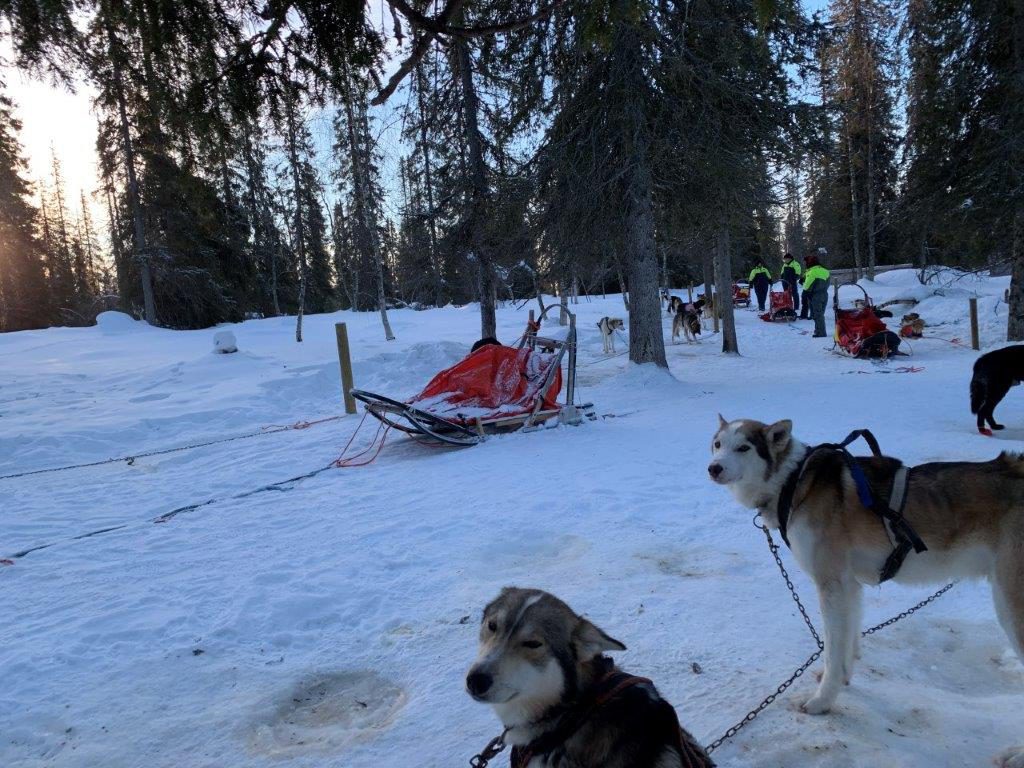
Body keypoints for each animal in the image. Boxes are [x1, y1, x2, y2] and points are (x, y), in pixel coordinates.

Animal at [708, 417, 1024, 765]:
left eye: (743, 448)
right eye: (718, 444)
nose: (713, 468)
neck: (794, 481)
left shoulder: (831, 584)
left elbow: (832, 647)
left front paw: (822, 702)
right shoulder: (849, 585)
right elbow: (846, 643)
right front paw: (842, 679)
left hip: (1010, 606)